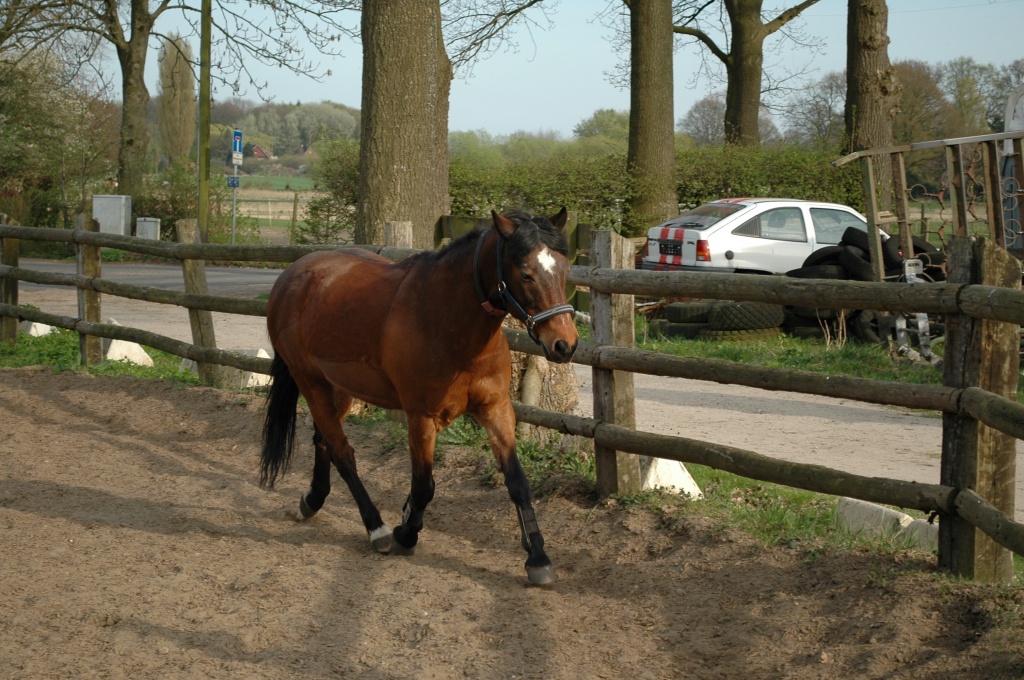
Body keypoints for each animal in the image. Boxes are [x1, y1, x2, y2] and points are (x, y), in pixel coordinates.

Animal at [259, 208, 579, 584]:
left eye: (565, 269)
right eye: (526, 273)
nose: (565, 344)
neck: (448, 322)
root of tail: (292, 275)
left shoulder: (497, 410)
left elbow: (517, 481)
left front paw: (538, 558)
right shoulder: (421, 417)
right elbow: (425, 486)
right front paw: (405, 533)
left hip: (337, 389)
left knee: (323, 441)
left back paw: (314, 499)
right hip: (311, 383)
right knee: (342, 453)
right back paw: (377, 529)